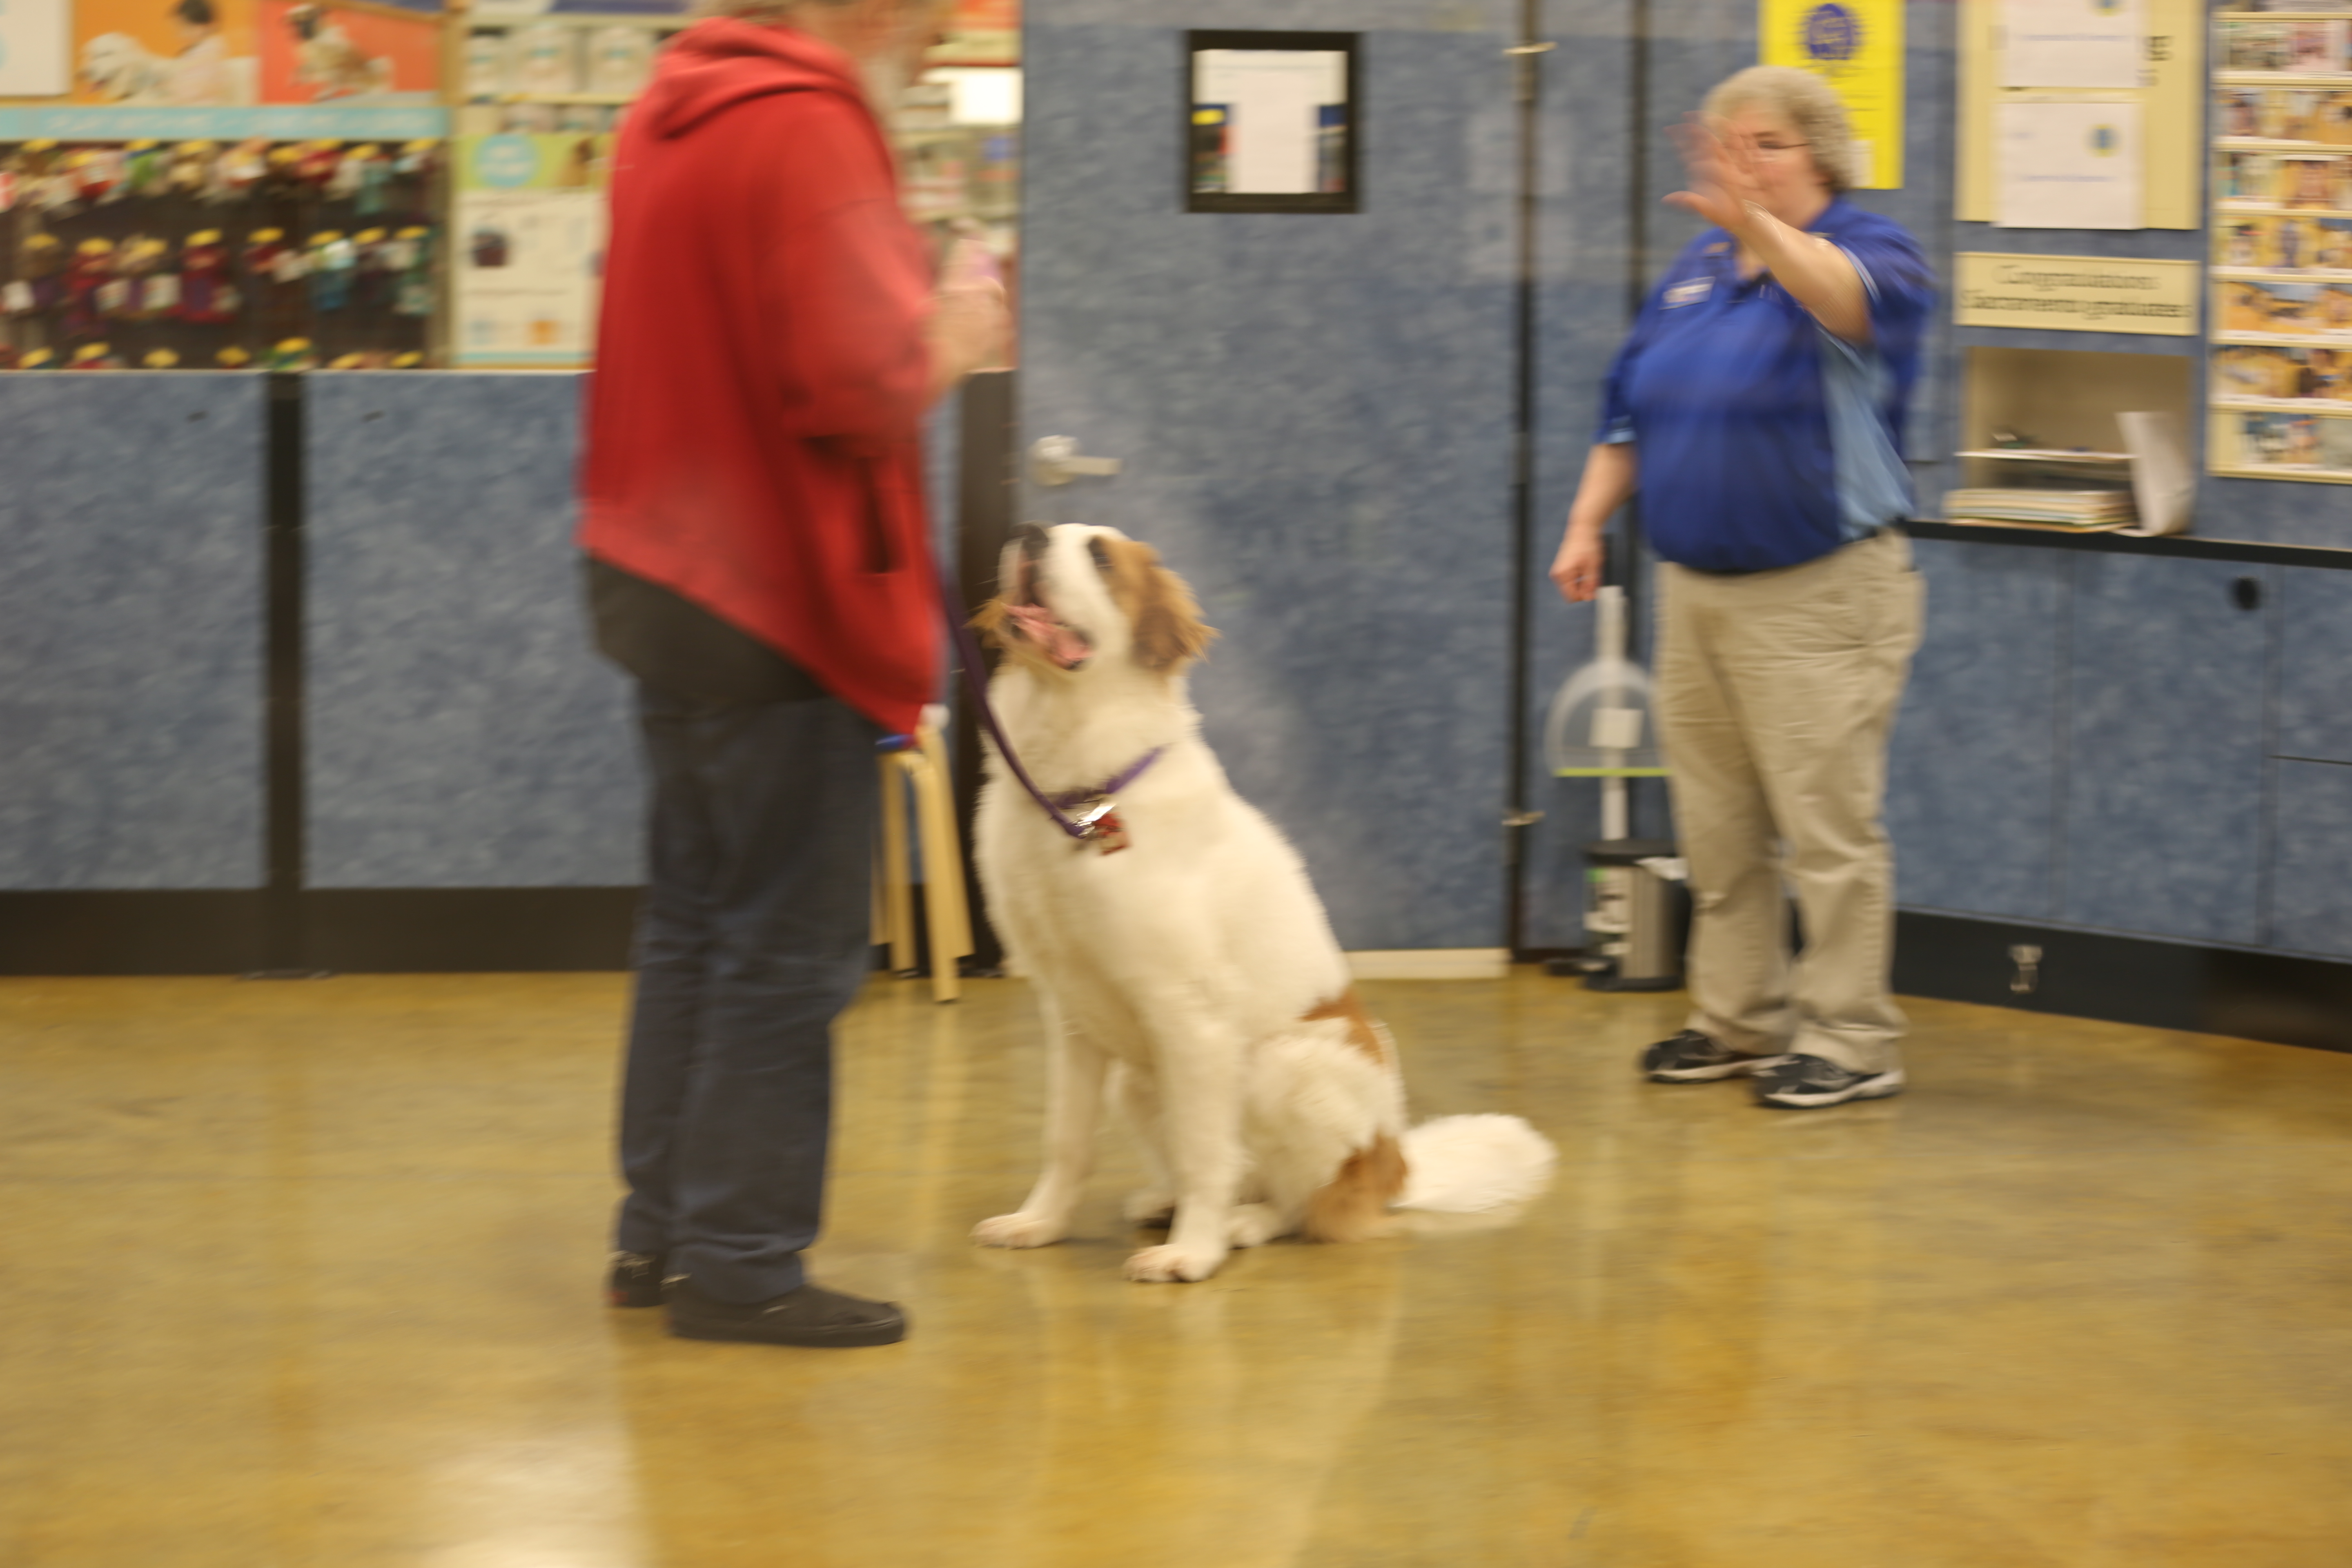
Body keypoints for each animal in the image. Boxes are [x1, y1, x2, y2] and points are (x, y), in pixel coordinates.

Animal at [970, 523, 1556, 1283]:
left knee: (1301, 1203)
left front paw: (1192, 1253)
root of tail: (1395, 1166)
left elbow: (1205, 1152)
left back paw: (1239, 1224)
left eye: (1099, 555)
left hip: (1288, 1066)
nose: (1029, 534)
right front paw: (1039, 1223)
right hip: (1137, 1079)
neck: (1082, 794)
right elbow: (1066, 1140)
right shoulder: (1070, 1016)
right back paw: (1164, 1202)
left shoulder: (1190, 1018)